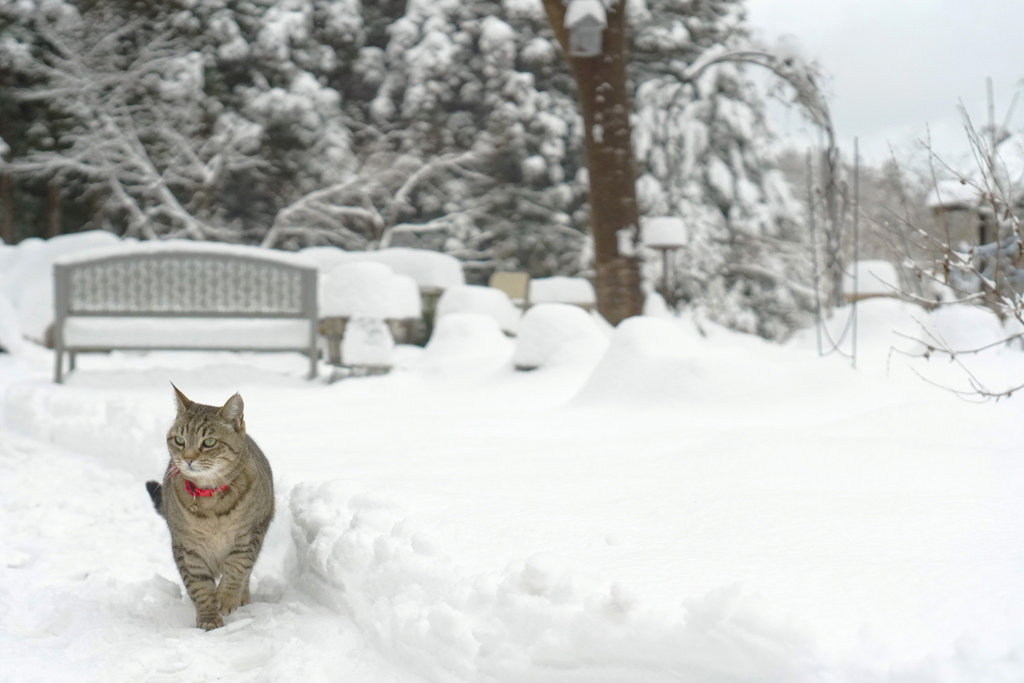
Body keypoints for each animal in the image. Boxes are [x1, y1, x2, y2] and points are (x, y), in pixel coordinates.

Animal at [144, 387, 274, 634]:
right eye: (179, 440)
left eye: (209, 442)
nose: (188, 459)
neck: (211, 505)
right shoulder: (187, 548)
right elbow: (200, 587)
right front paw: (209, 618)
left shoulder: (250, 534)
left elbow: (237, 567)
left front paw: (226, 598)